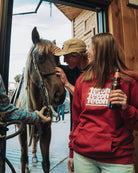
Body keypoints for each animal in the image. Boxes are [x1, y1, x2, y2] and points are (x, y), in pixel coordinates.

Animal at [14, 27, 66, 173]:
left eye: (58, 58)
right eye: (40, 57)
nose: (60, 94)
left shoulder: (46, 131)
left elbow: (46, 162)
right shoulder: (22, 131)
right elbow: (23, 158)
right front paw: (25, 165)